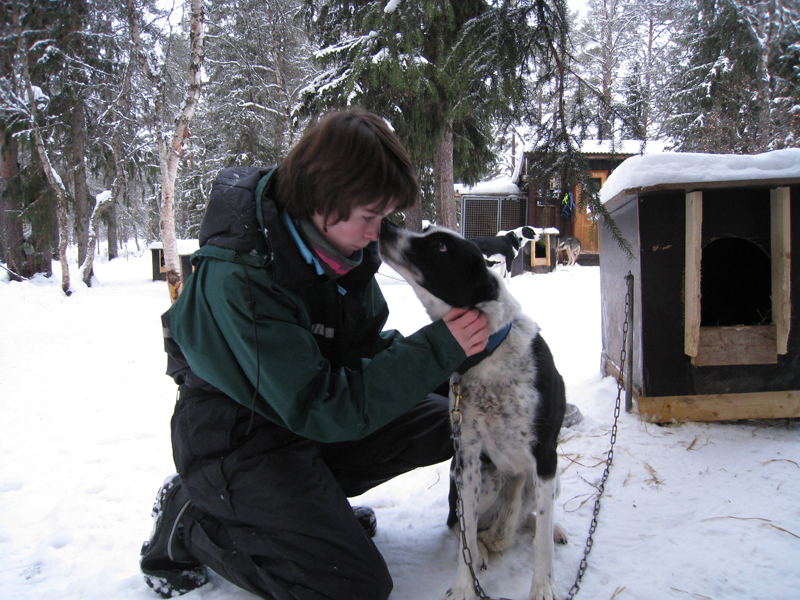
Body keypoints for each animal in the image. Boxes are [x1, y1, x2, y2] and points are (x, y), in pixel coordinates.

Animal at [378, 223, 564, 600]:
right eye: (428, 232)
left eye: (440, 246)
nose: (386, 225)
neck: (487, 355)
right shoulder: (467, 456)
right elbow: (465, 530)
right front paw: (465, 586)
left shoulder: (546, 456)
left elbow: (541, 542)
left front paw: (543, 587)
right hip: (482, 476)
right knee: (466, 524)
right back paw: (484, 548)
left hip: (549, 478)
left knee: (534, 517)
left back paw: (546, 528)